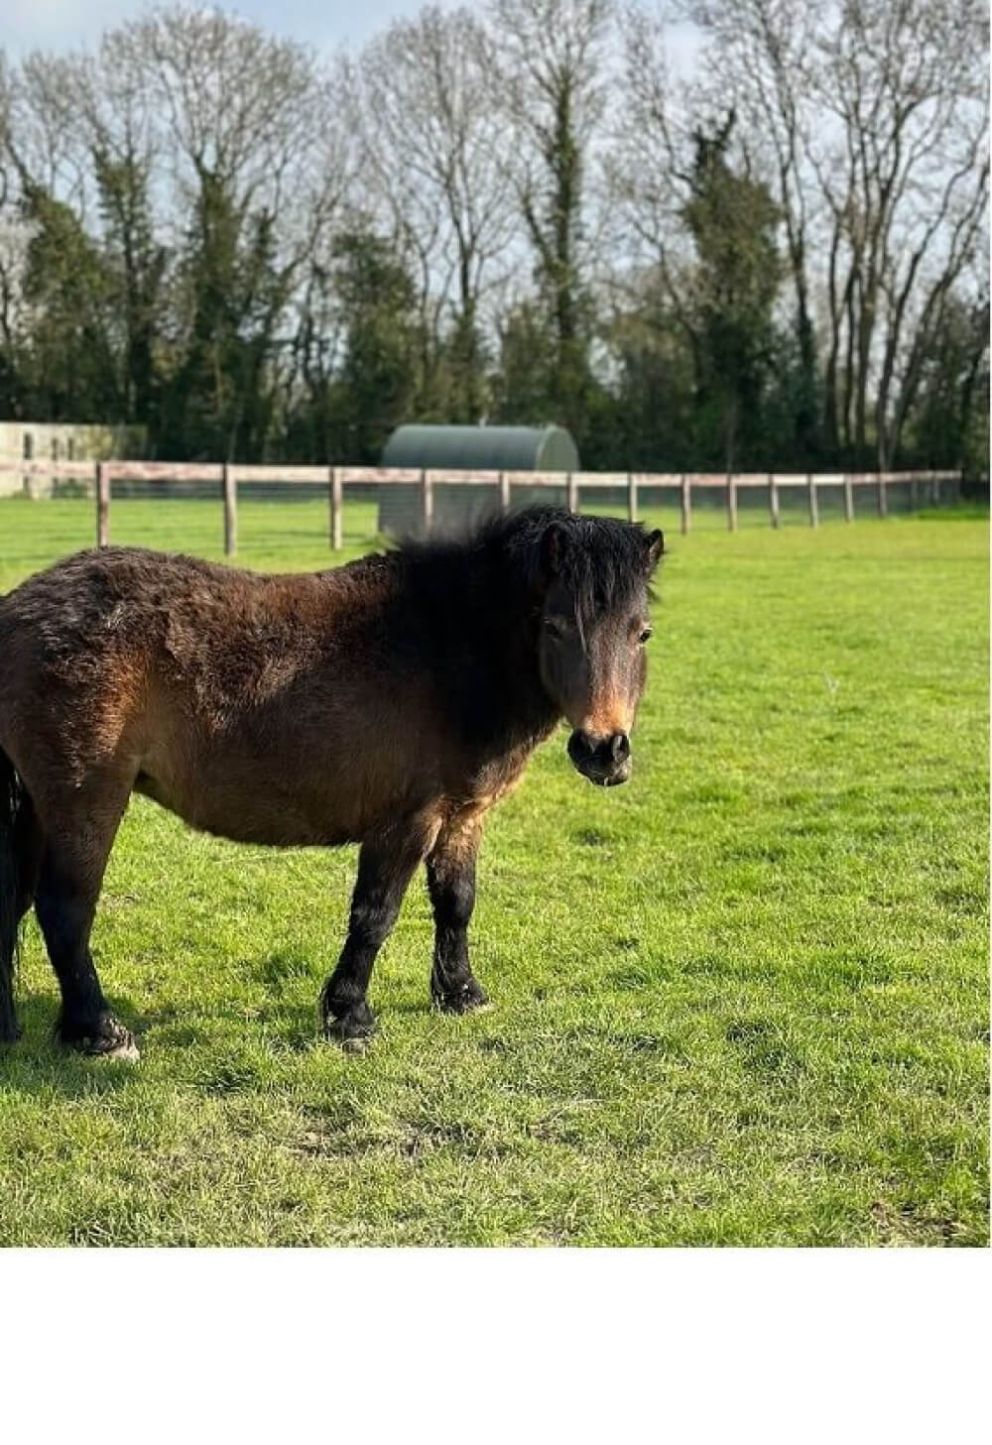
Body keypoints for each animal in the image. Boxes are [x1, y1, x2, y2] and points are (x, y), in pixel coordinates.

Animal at [0, 506, 663, 1058]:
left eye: (642, 632)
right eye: (554, 627)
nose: (603, 750)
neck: (450, 646)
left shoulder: (463, 816)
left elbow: (456, 902)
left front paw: (462, 995)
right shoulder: (407, 821)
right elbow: (375, 915)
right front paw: (350, 1017)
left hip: (36, 806)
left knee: (15, 903)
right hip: (83, 800)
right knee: (65, 909)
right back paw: (100, 1032)